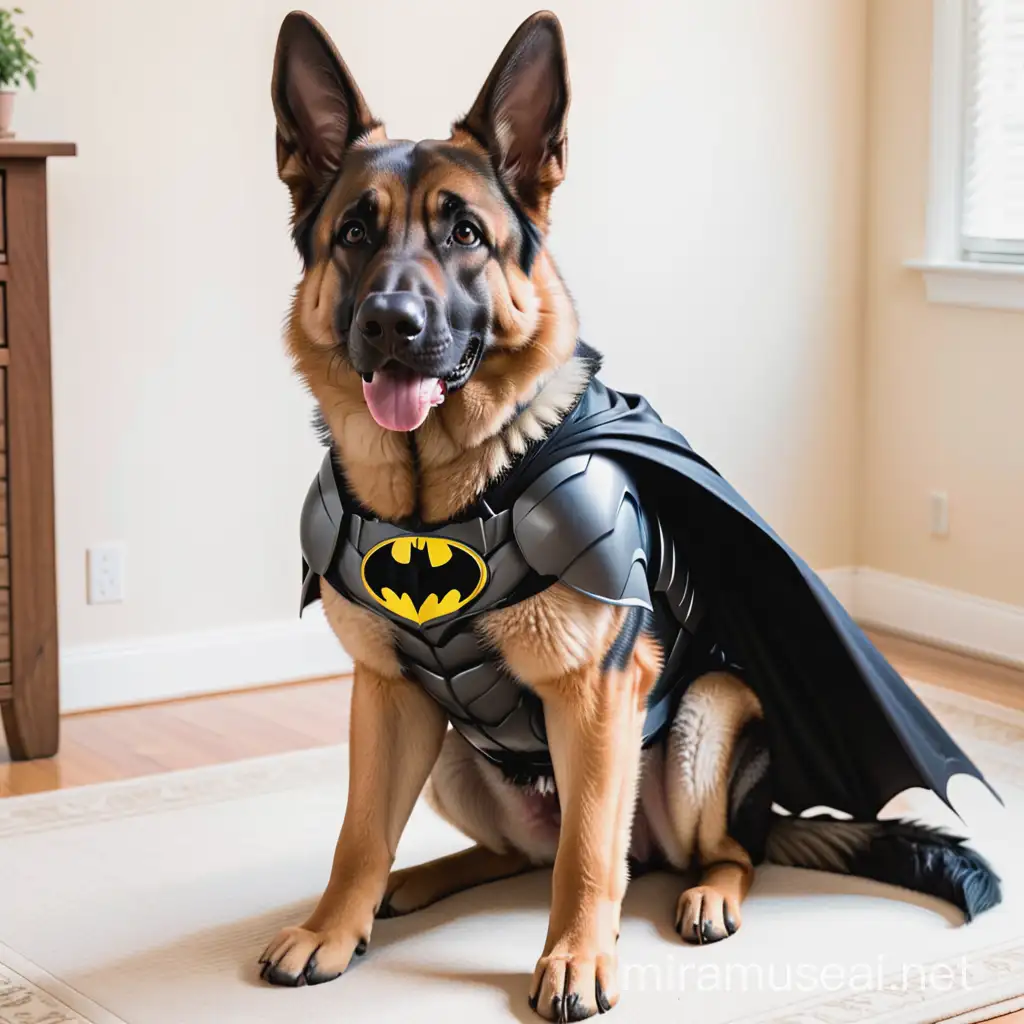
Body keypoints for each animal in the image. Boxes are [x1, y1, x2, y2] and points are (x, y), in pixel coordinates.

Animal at [262, 9, 999, 1015]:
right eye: (352, 234)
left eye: (465, 233)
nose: (389, 323)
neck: (437, 494)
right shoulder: (384, 698)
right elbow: (359, 833)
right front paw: (334, 926)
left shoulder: (598, 695)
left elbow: (584, 856)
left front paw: (577, 958)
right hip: (452, 754)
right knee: (514, 854)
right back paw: (417, 882)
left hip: (708, 721)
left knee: (706, 853)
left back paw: (705, 894)